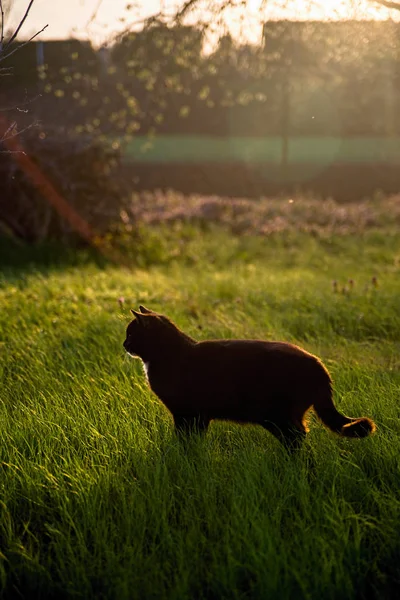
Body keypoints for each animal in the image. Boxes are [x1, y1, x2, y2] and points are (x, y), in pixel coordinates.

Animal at [123, 304, 376, 450]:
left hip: (276, 415)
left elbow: (184, 438)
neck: (170, 353)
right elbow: (195, 438)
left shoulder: (185, 412)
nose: (123, 344)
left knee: (297, 436)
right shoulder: (199, 415)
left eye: (130, 334)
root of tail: (319, 365)